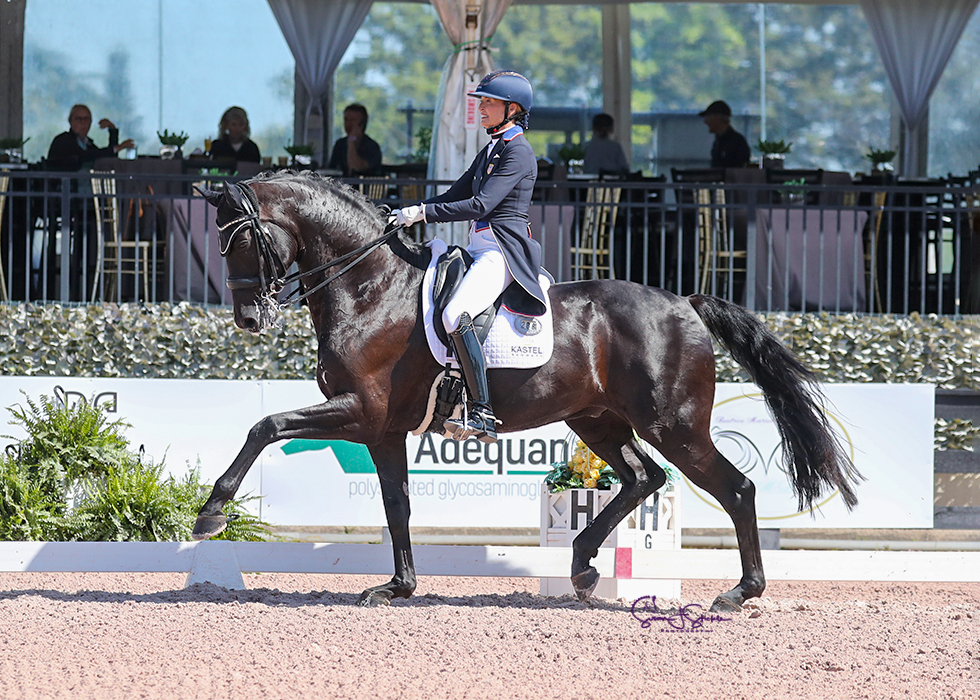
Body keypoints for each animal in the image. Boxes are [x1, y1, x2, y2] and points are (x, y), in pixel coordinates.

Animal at [193, 172, 856, 608]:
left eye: (240, 239)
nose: (248, 319)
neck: (369, 287)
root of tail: (684, 302)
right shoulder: (382, 430)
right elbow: (396, 505)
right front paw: (398, 586)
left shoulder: (361, 412)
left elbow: (266, 425)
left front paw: (211, 513)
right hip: (598, 420)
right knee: (643, 478)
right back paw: (583, 567)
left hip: (675, 426)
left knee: (734, 488)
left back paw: (740, 592)